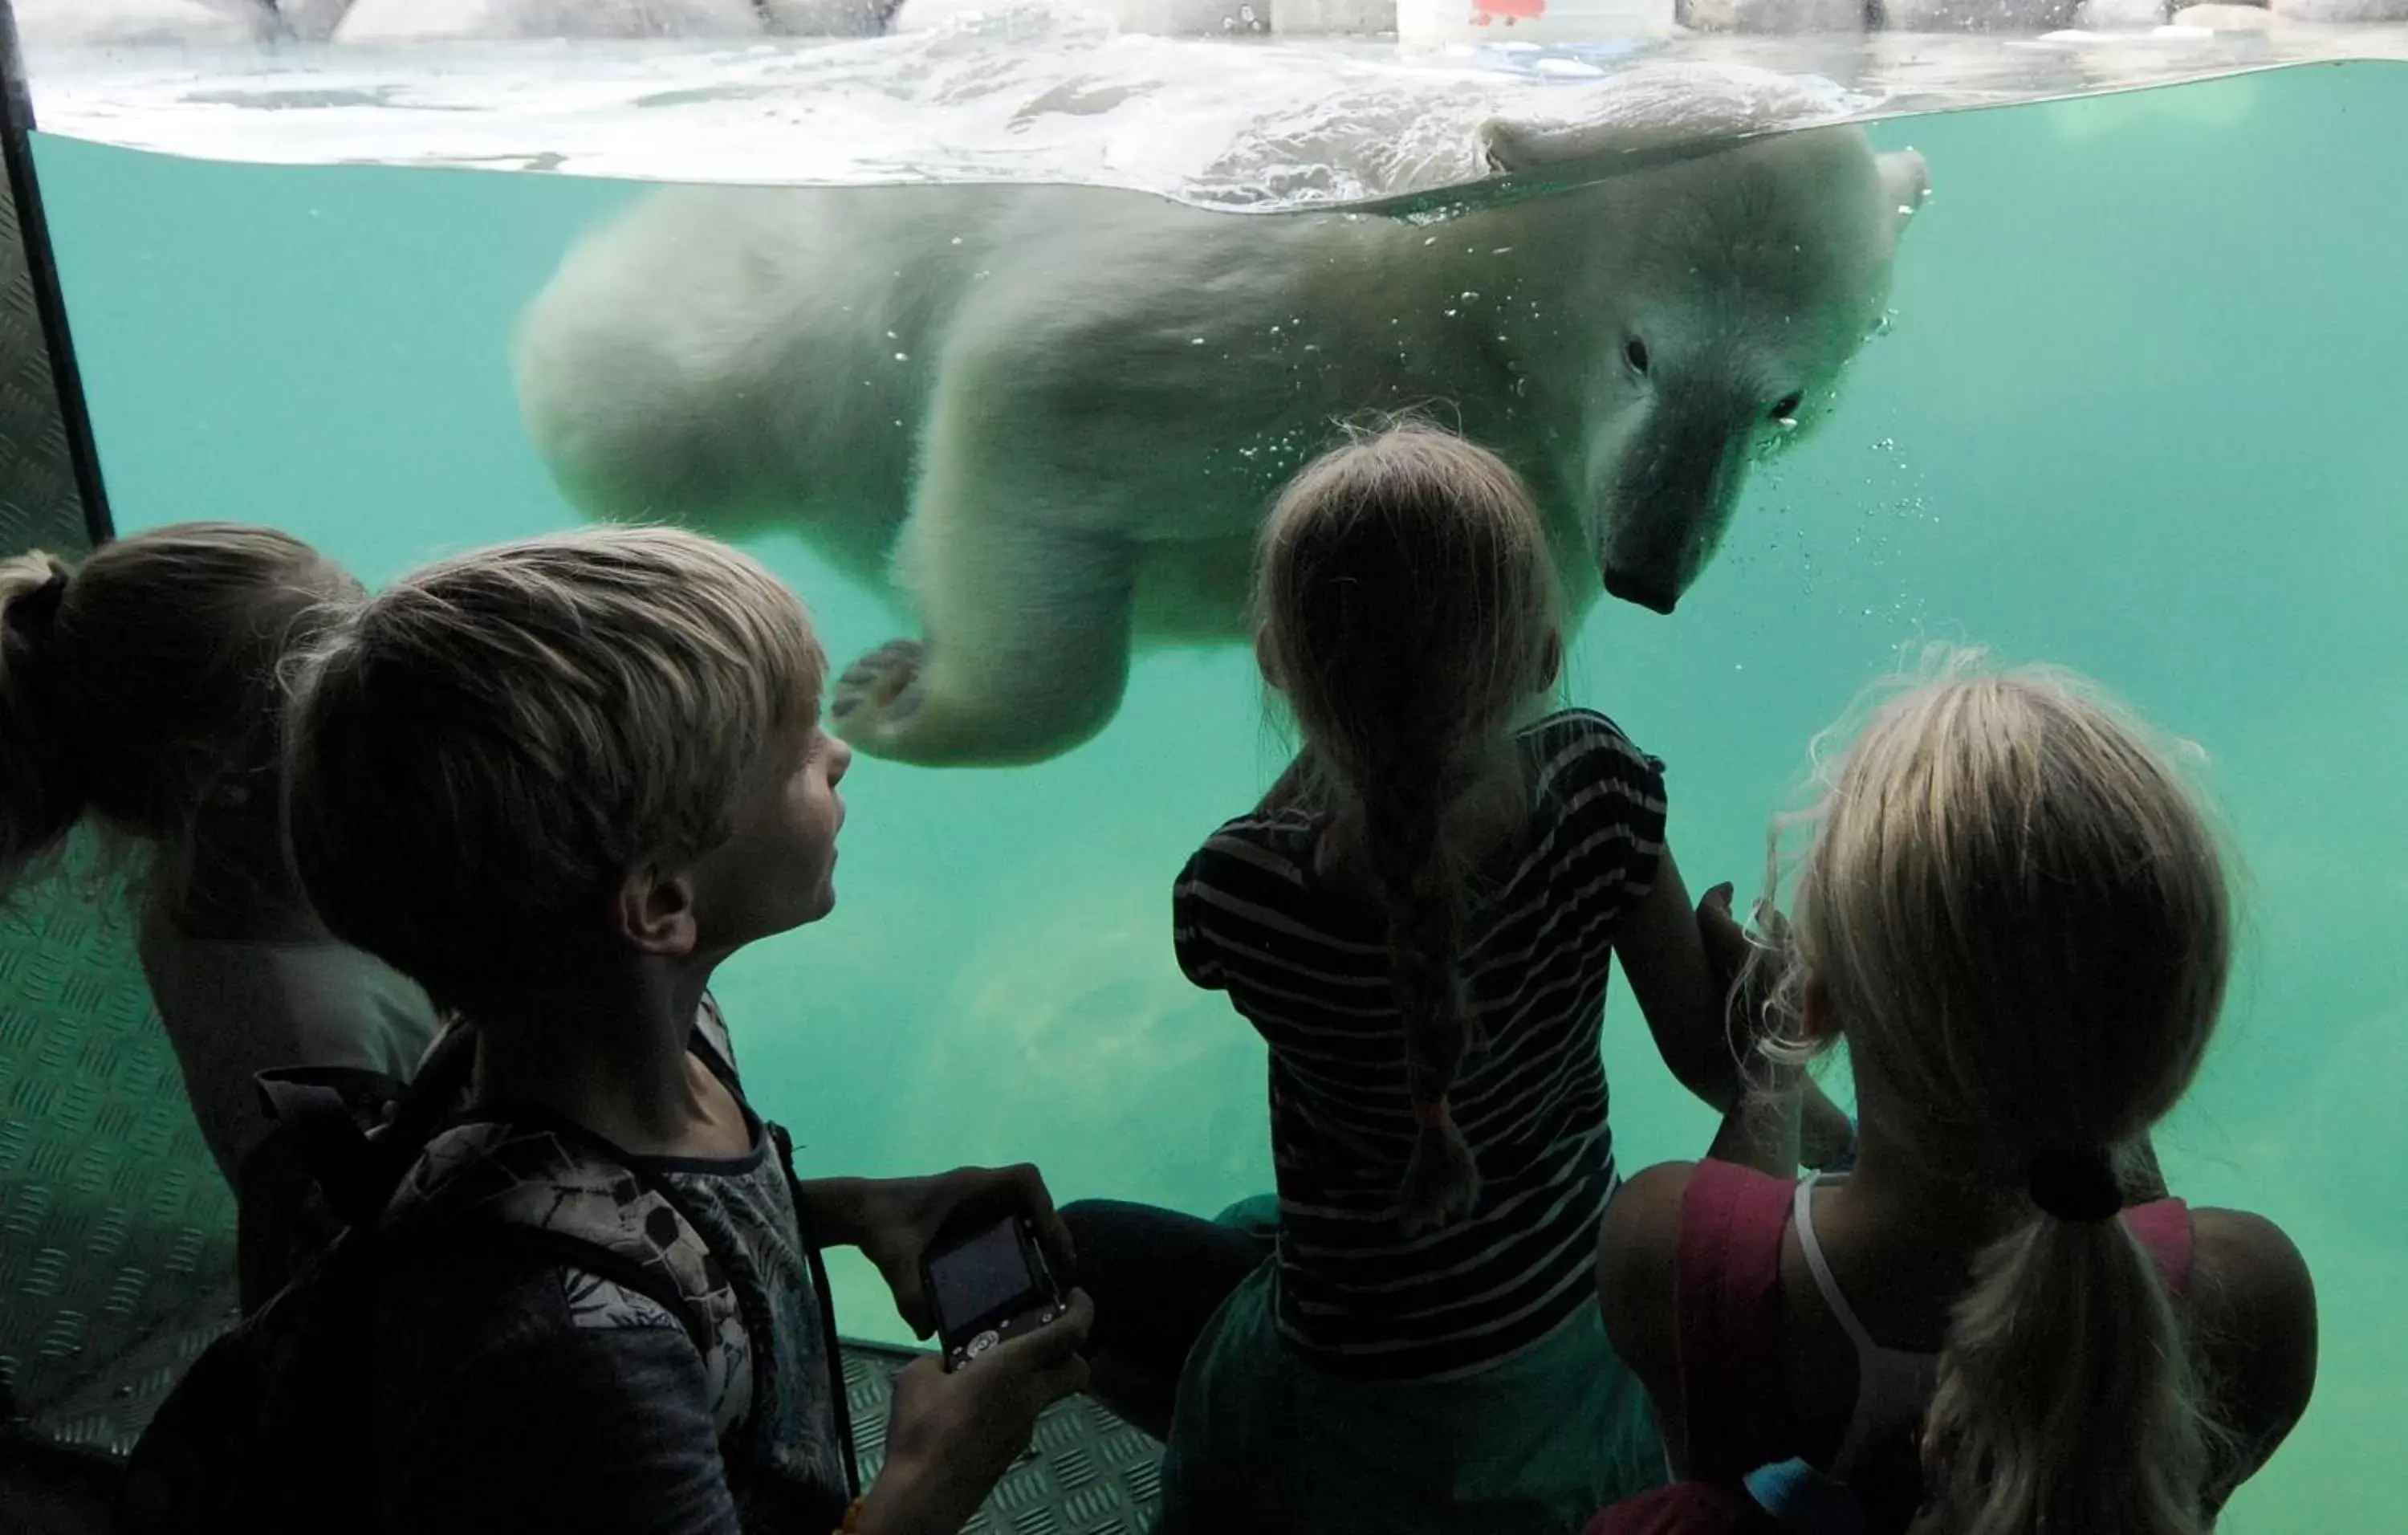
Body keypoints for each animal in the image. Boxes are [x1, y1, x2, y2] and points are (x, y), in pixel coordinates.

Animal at [518, 120, 1926, 766]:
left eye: (1785, 400)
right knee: (654, 395)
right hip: (798, 317)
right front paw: (894, 695)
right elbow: (1038, 391)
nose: (1650, 568)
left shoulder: (1539, 469)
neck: (1449, 296)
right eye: (1643, 350)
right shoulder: (1261, 294)